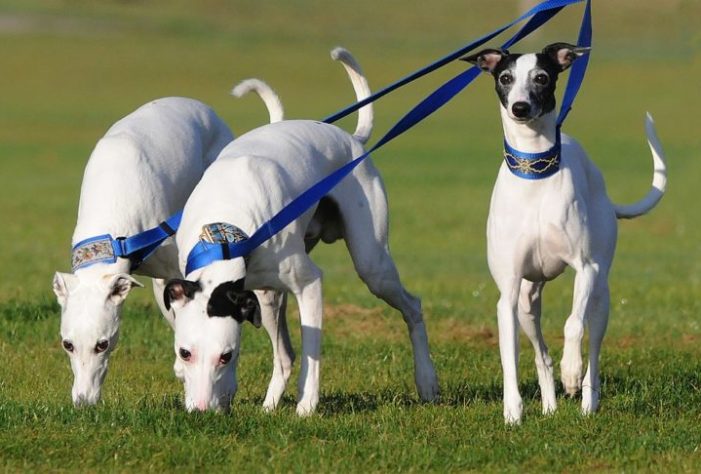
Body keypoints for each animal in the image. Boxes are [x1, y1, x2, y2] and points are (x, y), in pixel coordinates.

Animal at [163, 48, 438, 416]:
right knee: (284, 355)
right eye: (185, 352)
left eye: (226, 355)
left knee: (412, 307)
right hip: (267, 299)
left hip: (374, 266)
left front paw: (306, 406)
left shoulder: (309, 284)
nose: (203, 411)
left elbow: (312, 352)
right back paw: (268, 405)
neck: (223, 234)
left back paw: (427, 380)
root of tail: (351, 139)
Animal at [462, 42, 664, 424]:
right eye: (505, 77)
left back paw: (586, 400)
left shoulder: (585, 269)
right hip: (528, 302)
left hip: (601, 295)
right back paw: (550, 407)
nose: (520, 107)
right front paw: (513, 412)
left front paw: (571, 373)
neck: (535, 173)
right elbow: (510, 356)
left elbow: (572, 324)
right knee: (541, 354)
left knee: (593, 346)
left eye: (542, 77)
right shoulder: (508, 292)